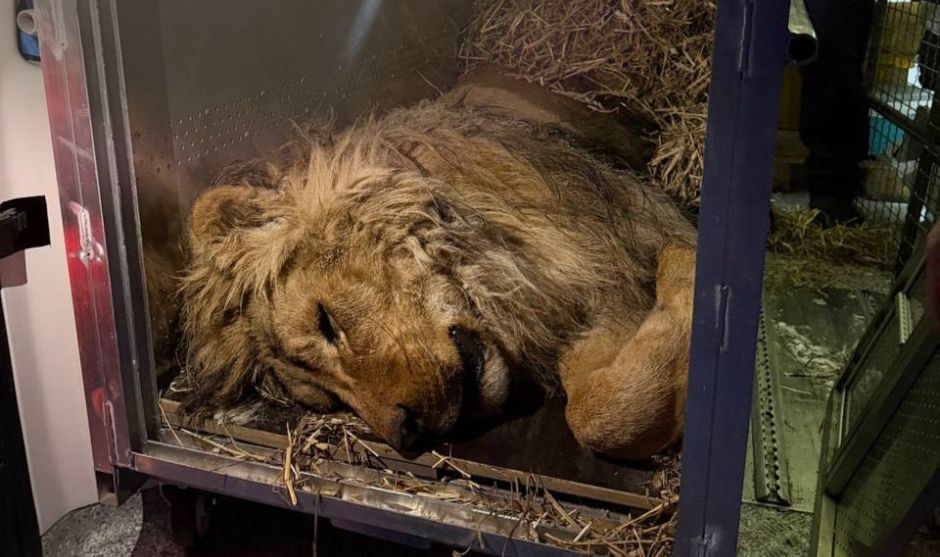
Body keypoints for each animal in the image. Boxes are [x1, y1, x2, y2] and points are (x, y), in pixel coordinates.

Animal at [179, 66, 696, 460]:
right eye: (327, 399)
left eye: (325, 321)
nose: (407, 435)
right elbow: (595, 413)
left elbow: (599, 414)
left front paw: (686, 261)